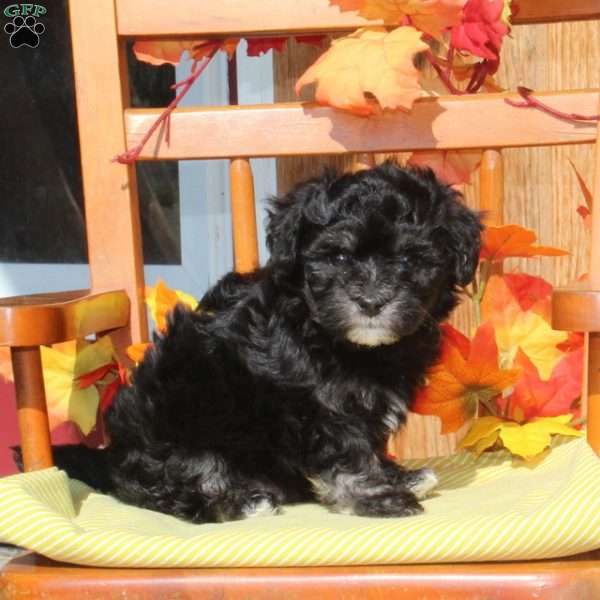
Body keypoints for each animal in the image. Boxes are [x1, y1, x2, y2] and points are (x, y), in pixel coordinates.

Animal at [52, 162, 482, 524]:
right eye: (339, 257)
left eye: (410, 260)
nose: (372, 302)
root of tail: (114, 458)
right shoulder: (319, 406)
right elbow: (349, 452)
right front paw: (377, 496)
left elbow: (369, 444)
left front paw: (397, 476)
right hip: (175, 431)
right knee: (175, 483)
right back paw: (241, 500)